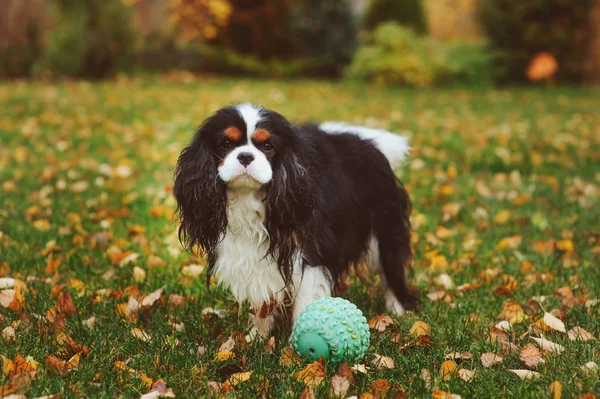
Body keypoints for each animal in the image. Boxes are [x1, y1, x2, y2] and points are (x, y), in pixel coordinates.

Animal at [173, 104, 418, 338]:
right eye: (225, 143)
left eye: (268, 146)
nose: (245, 156)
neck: (249, 199)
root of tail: (368, 142)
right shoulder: (251, 257)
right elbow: (261, 299)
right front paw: (256, 338)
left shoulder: (309, 254)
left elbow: (304, 302)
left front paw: (294, 348)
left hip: (384, 229)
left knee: (390, 270)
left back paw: (396, 310)